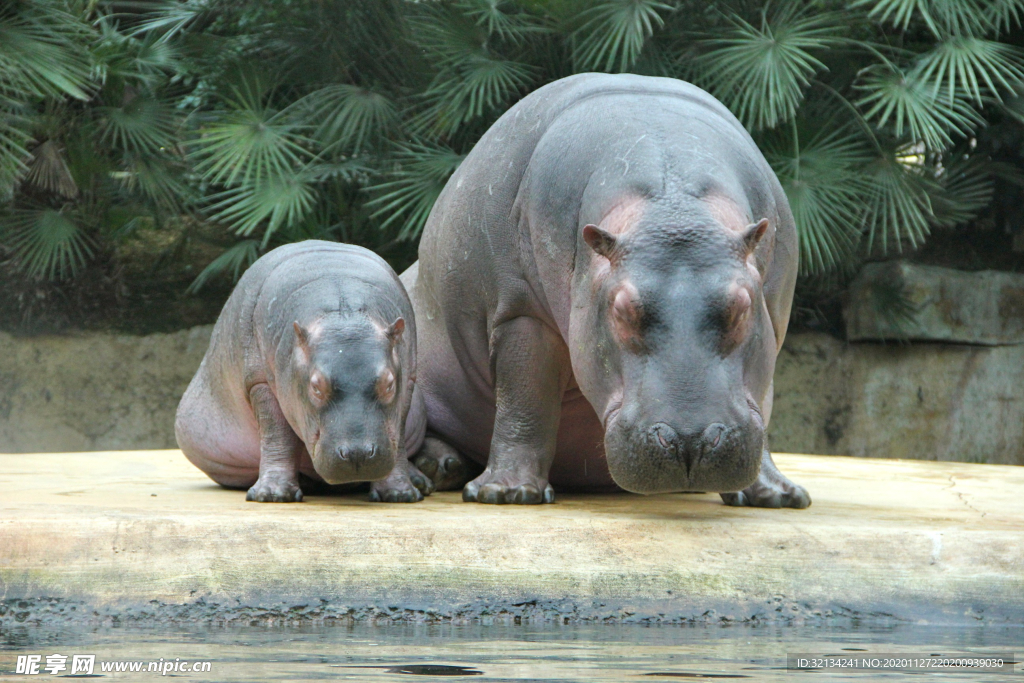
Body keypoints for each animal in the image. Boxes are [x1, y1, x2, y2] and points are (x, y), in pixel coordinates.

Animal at [176, 240, 432, 501]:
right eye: (316, 387)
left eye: (389, 384)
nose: (357, 454)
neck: (342, 310)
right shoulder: (260, 383)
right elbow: (277, 436)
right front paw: (272, 495)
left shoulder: (408, 381)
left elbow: (397, 435)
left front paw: (400, 494)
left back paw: (420, 481)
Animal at [403, 73, 811, 507]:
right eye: (622, 310)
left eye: (741, 307)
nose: (691, 441)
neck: (673, 203)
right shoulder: (520, 311)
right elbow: (525, 397)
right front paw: (506, 492)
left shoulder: (774, 318)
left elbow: (762, 401)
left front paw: (778, 496)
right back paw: (438, 465)